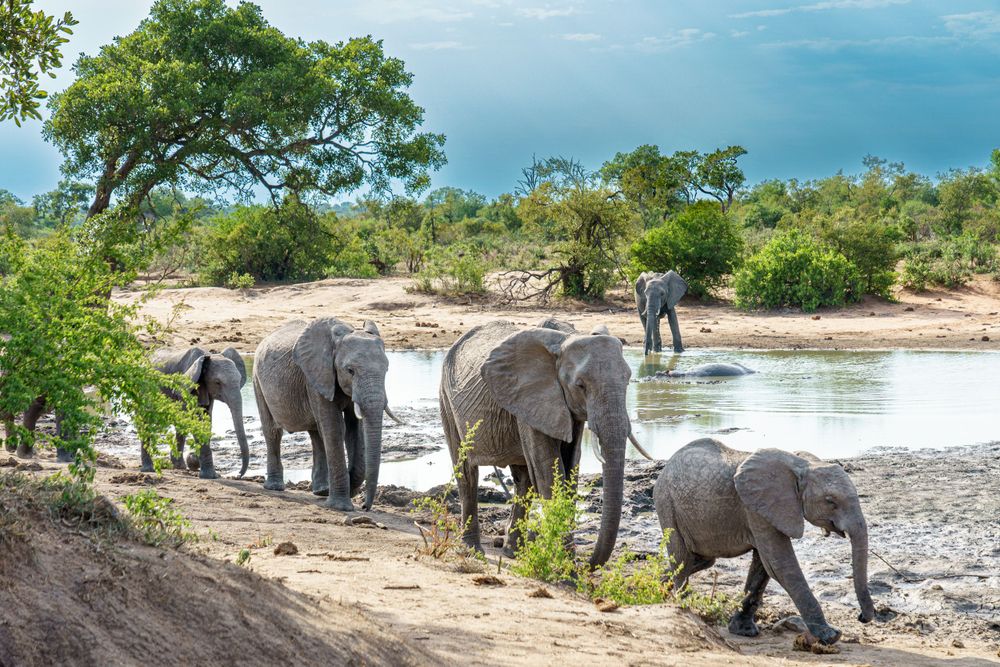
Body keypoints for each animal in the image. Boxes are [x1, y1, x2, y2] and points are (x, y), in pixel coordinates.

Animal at [141, 347, 249, 479]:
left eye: (239, 380)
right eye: (217, 382)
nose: (237, 475)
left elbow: (207, 421)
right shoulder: (186, 386)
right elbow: (195, 419)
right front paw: (209, 475)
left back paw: (179, 466)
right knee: (146, 419)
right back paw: (148, 469)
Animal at [253, 317, 399, 511]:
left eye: (387, 370)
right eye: (350, 370)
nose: (364, 507)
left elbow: (355, 429)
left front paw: (349, 489)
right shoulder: (316, 377)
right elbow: (335, 428)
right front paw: (341, 506)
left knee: (316, 433)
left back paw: (322, 490)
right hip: (257, 380)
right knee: (272, 431)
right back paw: (276, 487)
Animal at [439, 318, 654, 568]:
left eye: (628, 381)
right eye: (580, 386)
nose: (586, 565)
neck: (565, 343)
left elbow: (570, 467)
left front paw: (565, 563)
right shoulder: (532, 394)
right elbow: (549, 469)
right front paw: (566, 569)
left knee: (523, 479)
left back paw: (513, 552)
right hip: (446, 397)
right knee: (466, 471)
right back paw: (473, 550)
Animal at [654, 438, 875, 645]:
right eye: (830, 501)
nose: (862, 617)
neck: (801, 465)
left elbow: (763, 565)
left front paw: (743, 631)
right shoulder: (755, 508)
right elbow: (779, 564)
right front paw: (830, 635)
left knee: (702, 560)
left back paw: (656, 587)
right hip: (666, 502)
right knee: (682, 558)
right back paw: (685, 605)